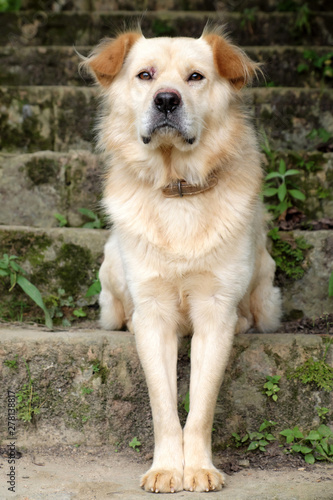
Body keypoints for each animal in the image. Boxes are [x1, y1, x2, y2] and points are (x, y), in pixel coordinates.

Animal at [82, 27, 280, 492]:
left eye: (195, 77)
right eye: (145, 75)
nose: (167, 101)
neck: (178, 189)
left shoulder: (215, 310)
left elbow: (201, 406)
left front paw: (200, 468)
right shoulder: (154, 312)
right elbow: (163, 407)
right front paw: (166, 468)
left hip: (264, 278)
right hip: (111, 266)